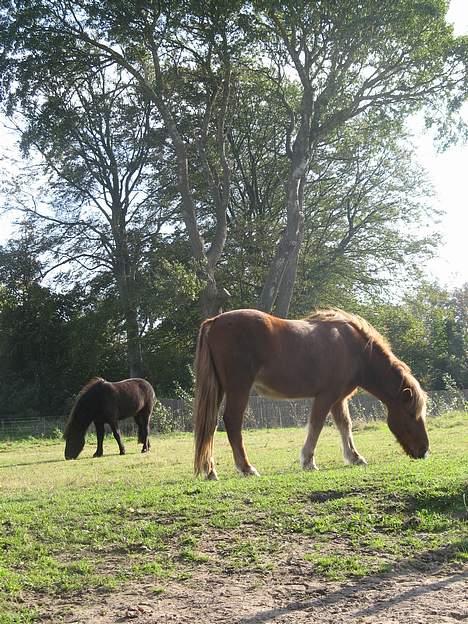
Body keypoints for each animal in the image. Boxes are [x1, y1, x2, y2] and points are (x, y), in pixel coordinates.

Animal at [193, 310, 428, 480]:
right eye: (411, 414)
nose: (424, 451)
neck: (354, 350)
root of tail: (215, 321)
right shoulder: (326, 396)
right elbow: (316, 426)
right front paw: (308, 461)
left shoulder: (338, 399)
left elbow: (345, 425)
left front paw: (354, 457)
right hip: (238, 388)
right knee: (232, 422)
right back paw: (246, 468)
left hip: (220, 390)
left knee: (210, 425)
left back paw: (211, 471)